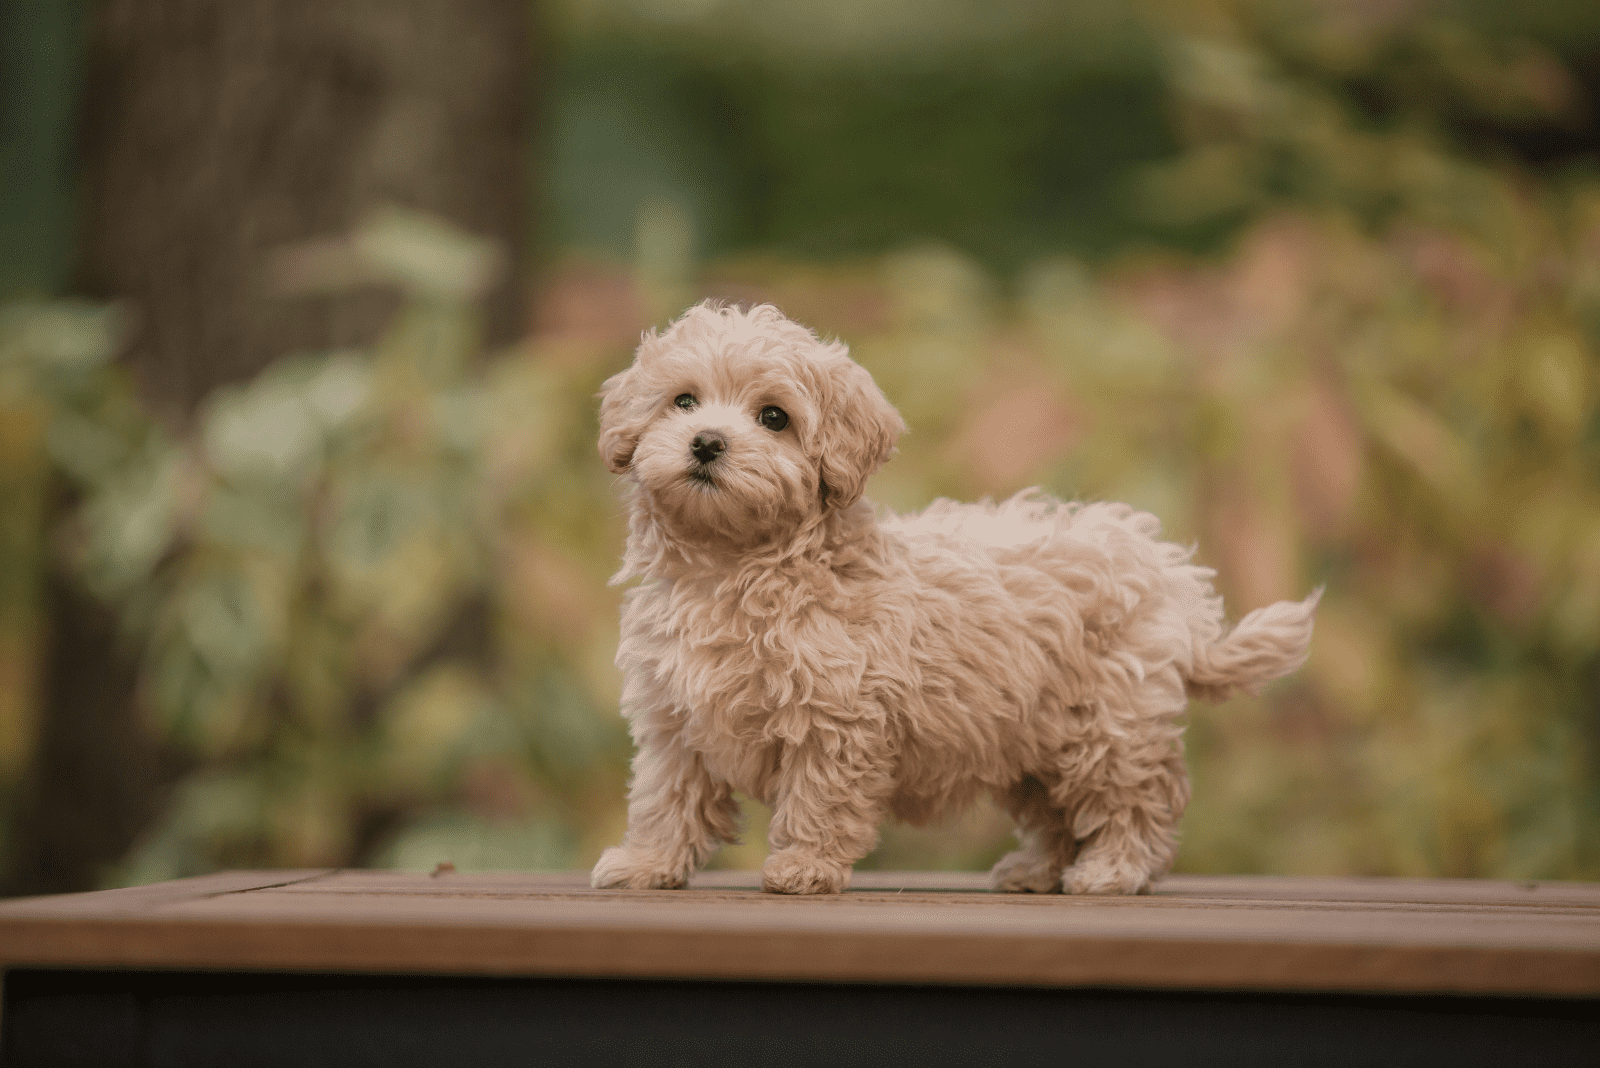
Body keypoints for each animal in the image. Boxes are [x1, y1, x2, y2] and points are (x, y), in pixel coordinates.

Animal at [588, 300, 1312, 895]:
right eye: (683, 401)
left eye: (774, 417)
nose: (707, 442)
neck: (730, 566)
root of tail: (1165, 569)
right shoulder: (674, 718)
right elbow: (665, 798)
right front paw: (647, 864)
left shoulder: (836, 718)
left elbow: (820, 798)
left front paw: (805, 866)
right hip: (1029, 739)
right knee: (1056, 813)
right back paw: (1036, 871)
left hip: (1108, 724)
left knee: (1137, 800)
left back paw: (1112, 871)